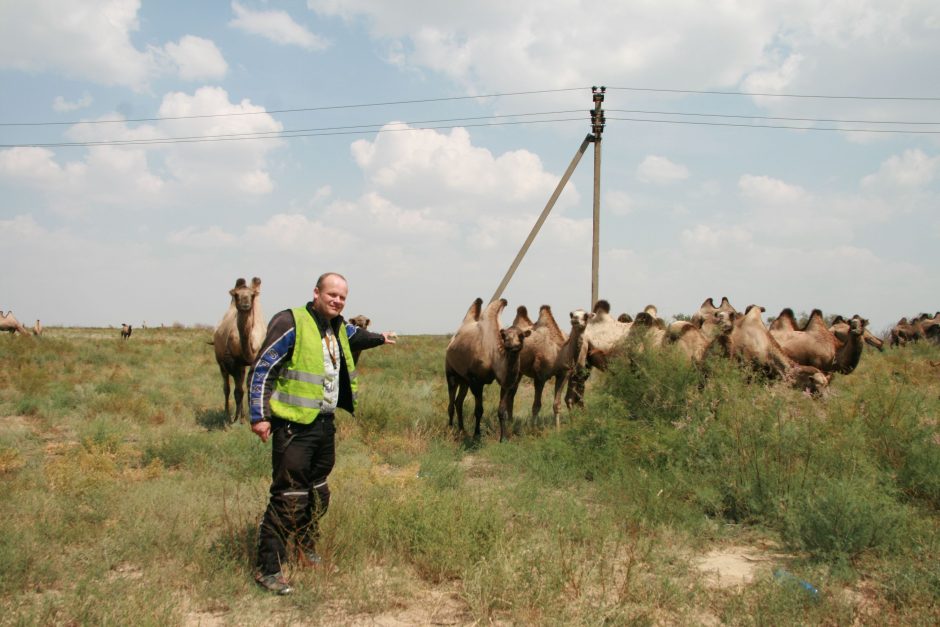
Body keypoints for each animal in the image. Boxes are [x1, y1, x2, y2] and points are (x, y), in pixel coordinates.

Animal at [214, 278, 266, 424]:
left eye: (252, 295)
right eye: (236, 295)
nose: (245, 305)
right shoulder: (234, 363)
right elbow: (238, 392)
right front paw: (238, 419)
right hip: (221, 363)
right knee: (227, 388)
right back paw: (227, 413)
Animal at [446, 298, 532, 442]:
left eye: (521, 336)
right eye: (505, 336)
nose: (512, 346)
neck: (493, 356)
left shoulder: (505, 382)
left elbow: (502, 411)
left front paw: (503, 438)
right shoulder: (476, 381)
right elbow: (479, 410)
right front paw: (477, 435)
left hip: (464, 379)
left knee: (458, 402)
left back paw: (462, 430)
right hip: (451, 373)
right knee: (451, 402)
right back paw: (451, 429)